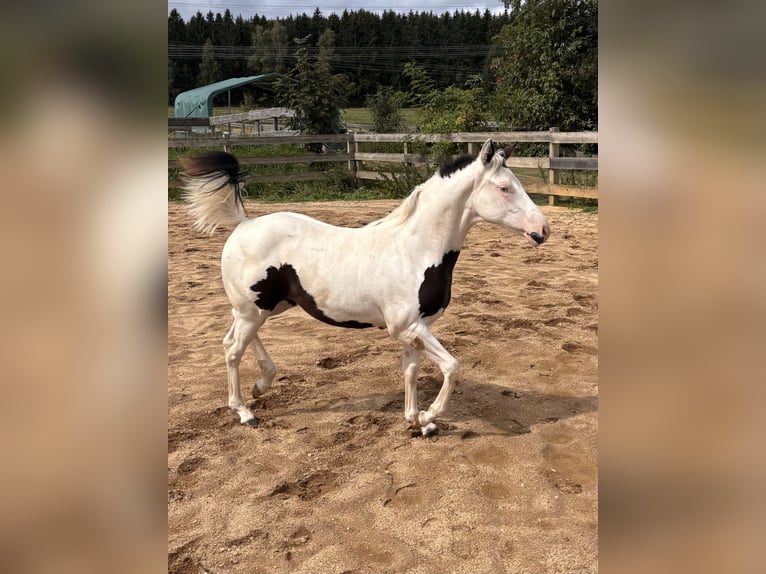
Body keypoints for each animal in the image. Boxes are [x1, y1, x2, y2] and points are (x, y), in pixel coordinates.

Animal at [182, 139, 550, 436]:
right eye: (504, 188)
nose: (543, 230)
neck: (415, 251)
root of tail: (243, 225)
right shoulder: (407, 327)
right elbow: (452, 367)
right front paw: (429, 416)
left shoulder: (417, 330)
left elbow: (411, 371)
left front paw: (415, 421)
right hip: (252, 309)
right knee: (233, 350)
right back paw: (245, 411)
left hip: (265, 307)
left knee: (233, 340)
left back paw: (261, 385)